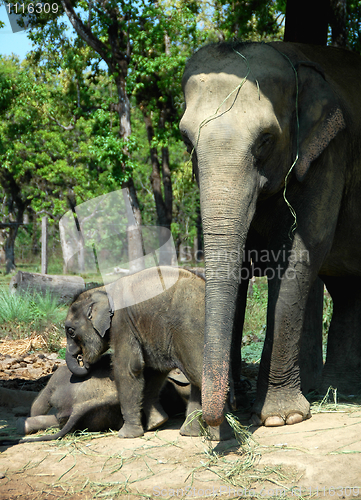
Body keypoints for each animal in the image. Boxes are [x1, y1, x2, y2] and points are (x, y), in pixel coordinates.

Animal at [65, 268, 233, 440]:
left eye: (70, 331)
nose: (81, 359)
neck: (102, 289)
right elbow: (154, 370)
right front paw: (157, 424)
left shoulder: (121, 323)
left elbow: (128, 368)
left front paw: (126, 435)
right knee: (197, 378)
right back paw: (191, 433)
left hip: (190, 330)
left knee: (198, 373)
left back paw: (221, 436)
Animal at [180, 41, 360, 428]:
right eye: (186, 140)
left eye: (265, 140)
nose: (209, 421)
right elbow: (241, 267)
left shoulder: (329, 153)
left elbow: (301, 254)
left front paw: (281, 418)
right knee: (347, 288)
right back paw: (339, 389)